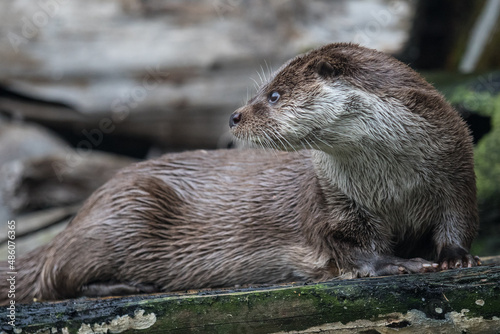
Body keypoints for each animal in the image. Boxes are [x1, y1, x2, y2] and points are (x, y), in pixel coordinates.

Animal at [0, 43, 478, 304]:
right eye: (261, 91)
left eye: (275, 94)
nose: (234, 115)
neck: (392, 185)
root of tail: (81, 212)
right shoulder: (334, 201)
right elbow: (348, 247)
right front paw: (398, 263)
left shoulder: (455, 172)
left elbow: (457, 220)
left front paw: (455, 256)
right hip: (126, 209)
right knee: (55, 278)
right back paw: (125, 286)